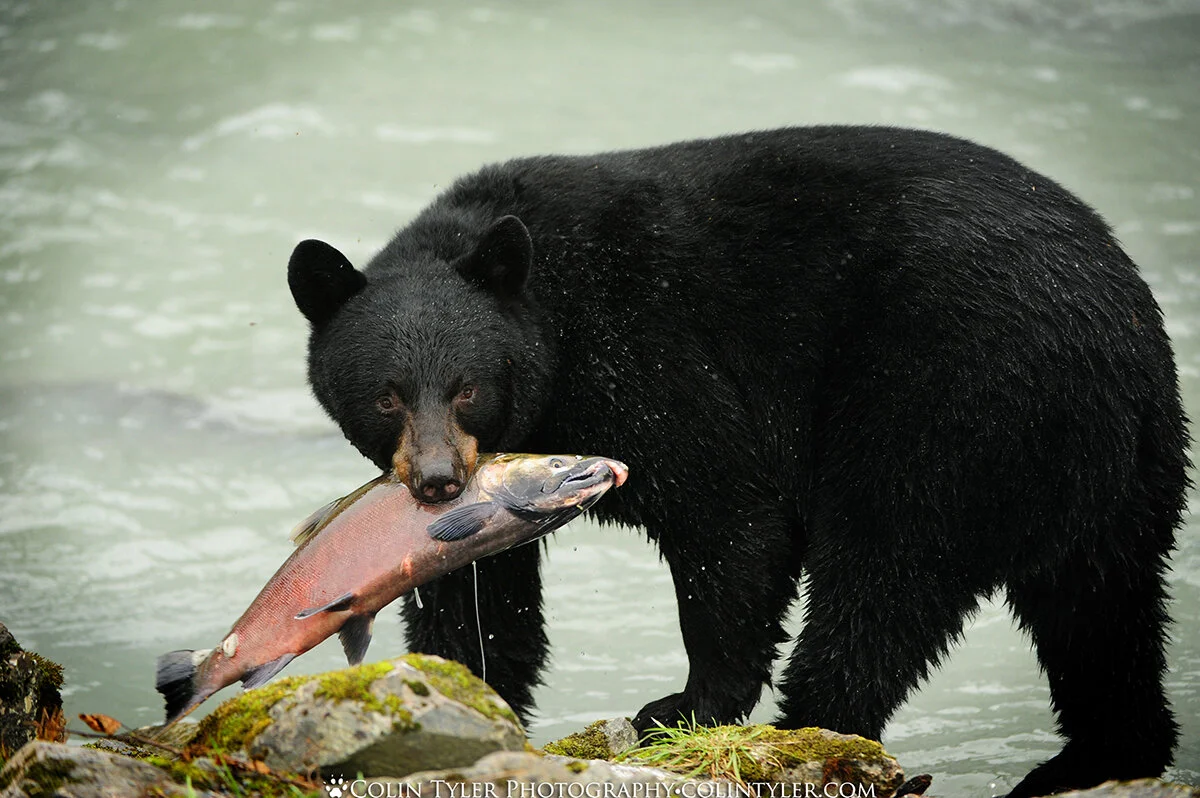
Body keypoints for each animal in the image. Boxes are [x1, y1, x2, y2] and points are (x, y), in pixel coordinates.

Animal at [286, 126, 1189, 798]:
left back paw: (808, 728)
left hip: (943, 399)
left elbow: (728, 516)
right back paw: (1097, 758)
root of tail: (1113, 323)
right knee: (1104, 607)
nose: (437, 482)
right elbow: (474, 596)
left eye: (467, 386)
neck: (554, 316)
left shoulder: (651, 355)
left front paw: (688, 708)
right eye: (388, 395)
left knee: (886, 570)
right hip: (1121, 469)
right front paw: (464, 698)